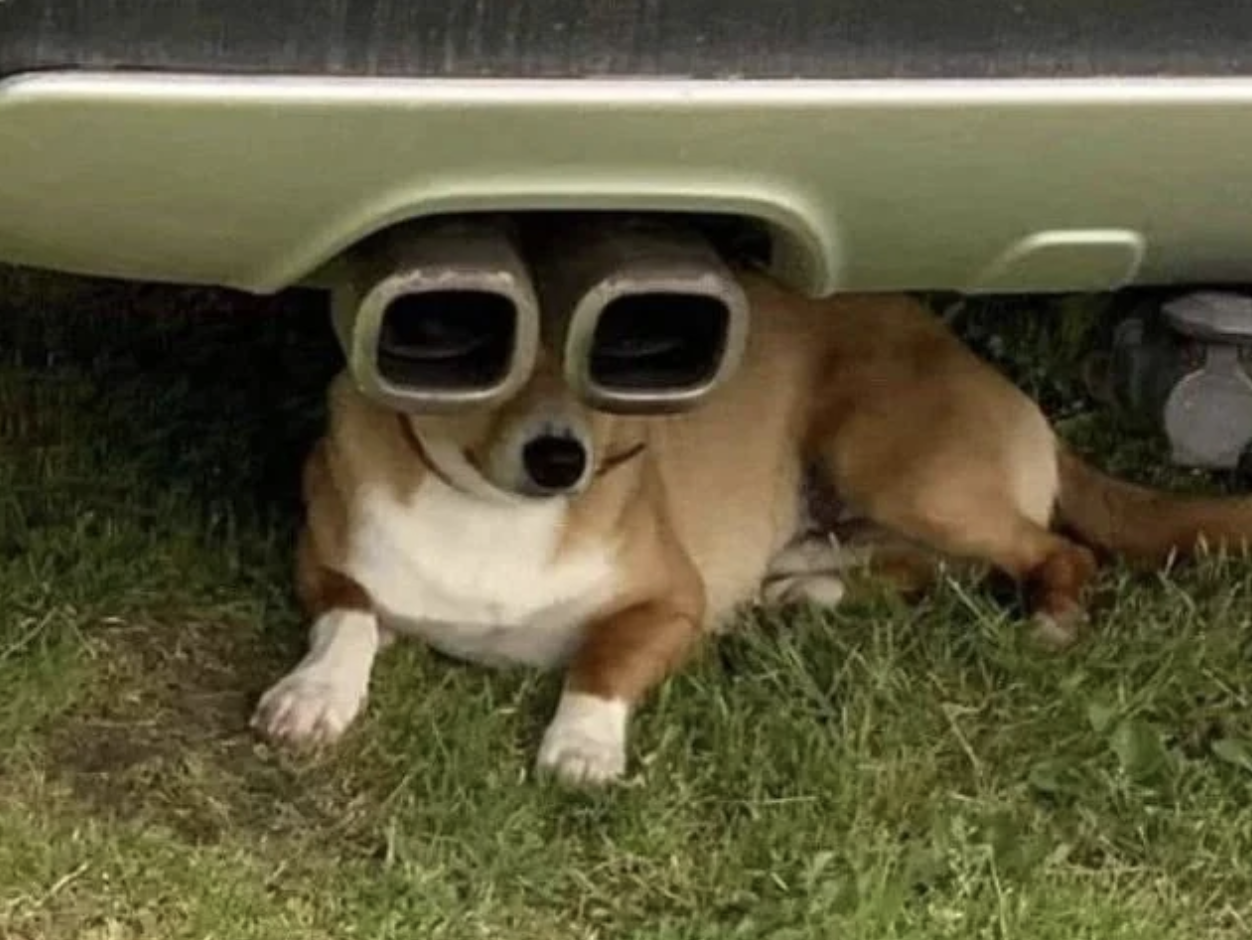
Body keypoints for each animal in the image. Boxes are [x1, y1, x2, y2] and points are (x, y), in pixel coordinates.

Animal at [249, 271, 1246, 786]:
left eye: (612, 362)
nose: (560, 459)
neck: (494, 513)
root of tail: (1002, 386)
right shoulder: (326, 567)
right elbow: (352, 619)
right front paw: (314, 694)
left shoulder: (669, 605)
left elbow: (602, 660)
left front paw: (583, 743)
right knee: (924, 568)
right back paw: (810, 587)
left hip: (895, 462)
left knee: (1052, 549)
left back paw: (1052, 619)